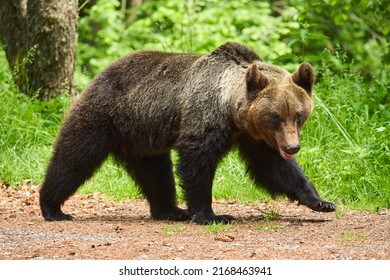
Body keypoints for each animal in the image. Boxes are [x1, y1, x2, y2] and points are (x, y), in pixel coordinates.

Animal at [41, 42, 336, 223]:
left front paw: (320, 201)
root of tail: (99, 74)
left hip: (142, 137)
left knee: (156, 174)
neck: (232, 113)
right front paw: (211, 214)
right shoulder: (205, 119)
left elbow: (273, 167)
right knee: (73, 158)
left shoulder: (254, 137)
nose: (292, 147)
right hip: (102, 116)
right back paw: (53, 207)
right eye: (275, 116)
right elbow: (198, 162)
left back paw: (170, 210)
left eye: (299, 114)